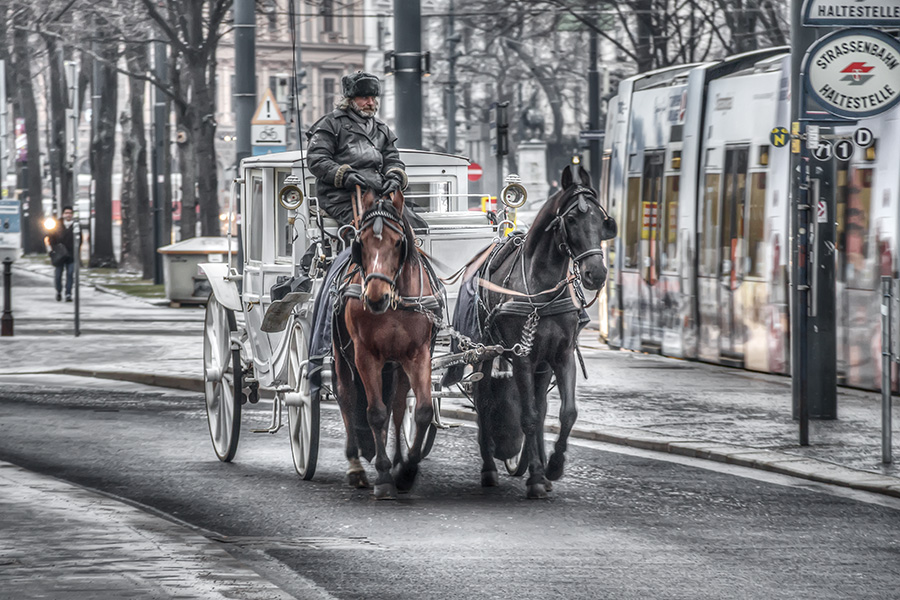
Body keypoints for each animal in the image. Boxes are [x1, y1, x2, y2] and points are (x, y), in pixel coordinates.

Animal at [332, 190, 442, 500]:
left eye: (397, 242)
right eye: (362, 241)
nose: (375, 297)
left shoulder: (418, 355)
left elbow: (421, 411)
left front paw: (406, 472)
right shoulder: (365, 356)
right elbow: (375, 413)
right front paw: (382, 475)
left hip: (396, 365)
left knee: (397, 406)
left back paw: (396, 461)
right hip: (342, 356)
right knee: (347, 397)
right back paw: (356, 466)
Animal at [448, 164, 612, 496]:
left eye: (601, 221)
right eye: (571, 219)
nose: (596, 273)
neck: (543, 287)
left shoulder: (561, 357)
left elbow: (565, 413)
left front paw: (553, 466)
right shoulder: (523, 359)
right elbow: (530, 417)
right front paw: (536, 476)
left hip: (540, 365)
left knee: (539, 402)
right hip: (484, 353)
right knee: (484, 402)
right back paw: (489, 468)